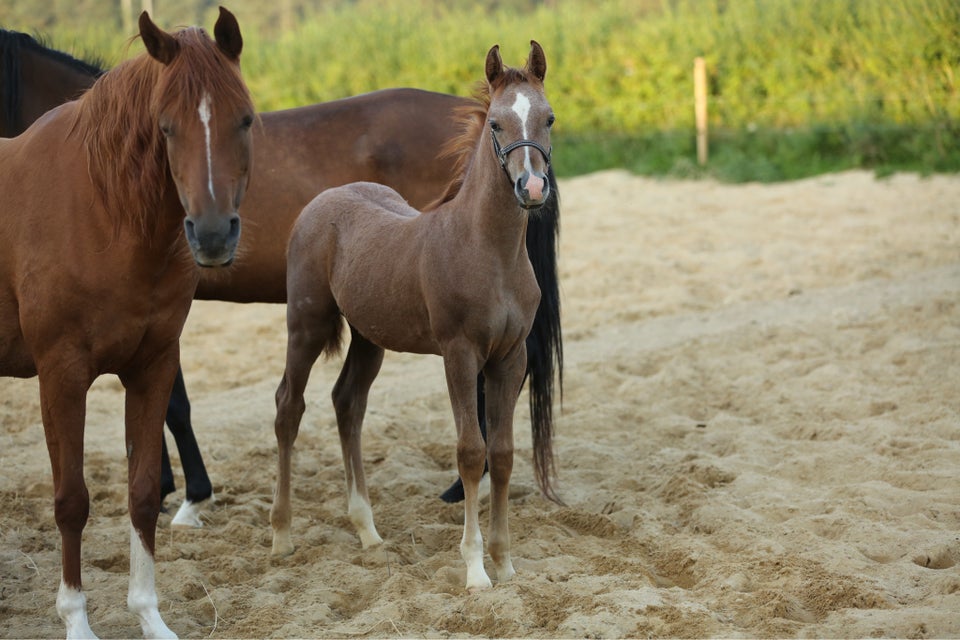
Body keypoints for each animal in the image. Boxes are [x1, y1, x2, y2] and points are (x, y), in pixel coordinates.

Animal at [0, 8, 255, 636]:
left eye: (244, 119)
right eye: (165, 128)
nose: (212, 236)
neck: (101, 210)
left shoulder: (152, 366)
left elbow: (142, 493)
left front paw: (150, 616)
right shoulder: (62, 375)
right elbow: (71, 500)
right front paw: (76, 621)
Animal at [272, 38, 556, 592]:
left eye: (548, 118)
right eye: (496, 123)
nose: (532, 189)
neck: (490, 251)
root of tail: (324, 199)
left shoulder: (509, 358)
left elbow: (503, 455)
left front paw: (506, 564)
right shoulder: (460, 354)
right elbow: (471, 451)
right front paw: (475, 571)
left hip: (369, 337)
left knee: (347, 404)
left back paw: (368, 533)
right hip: (306, 325)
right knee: (288, 407)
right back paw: (281, 537)